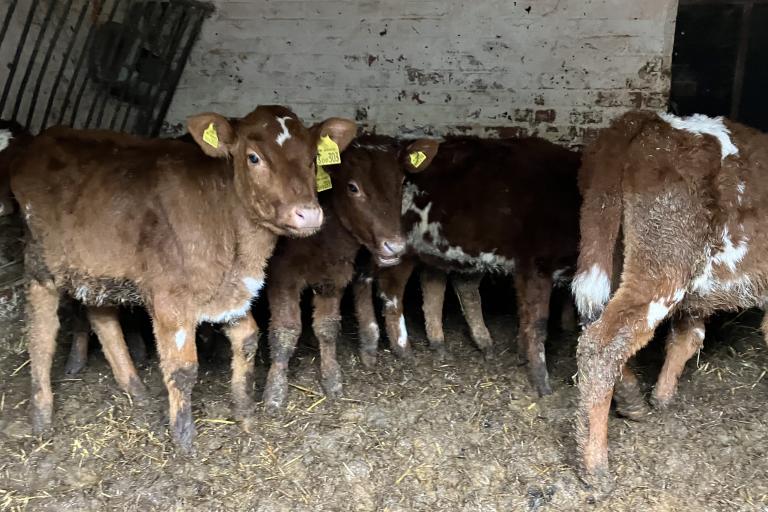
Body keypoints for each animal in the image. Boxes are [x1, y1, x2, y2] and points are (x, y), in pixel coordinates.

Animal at [6, 106, 356, 450]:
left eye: (312, 158)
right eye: (254, 157)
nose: (308, 214)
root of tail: (48, 137)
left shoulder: (232, 293)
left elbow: (248, 341)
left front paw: (245, 415)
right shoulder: (170, 301)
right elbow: (183, 369)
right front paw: (184, 437)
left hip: (96, 268)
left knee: (102, 320)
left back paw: (136, 391)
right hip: (41, 263)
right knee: (40, 334)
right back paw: (41, 416)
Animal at [262, 136, 439, 412]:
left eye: (401, 183)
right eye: (353, 188)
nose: (395, 245)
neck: (322, 241)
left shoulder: (333, 276)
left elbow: (327, 327)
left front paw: (332, 377)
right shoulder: (283, 276)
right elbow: (285, 332)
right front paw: (275, 391)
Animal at [363, 136, 582, 397]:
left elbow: (525, 313)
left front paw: (522, 354)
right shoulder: (536, 264)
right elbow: (538, 324)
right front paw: (541, 381)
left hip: (446, 249)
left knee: (441, 286)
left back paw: (449, 343)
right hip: (401, 250)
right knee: (392, 288)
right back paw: (401, 347)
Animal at [573, 110, 768, 482]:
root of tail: (649, 120)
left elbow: (687, 336)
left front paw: (662, 397)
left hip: (612, 247)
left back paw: (632, 400)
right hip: (664, 264)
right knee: (604, 342)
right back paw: (594, 463)